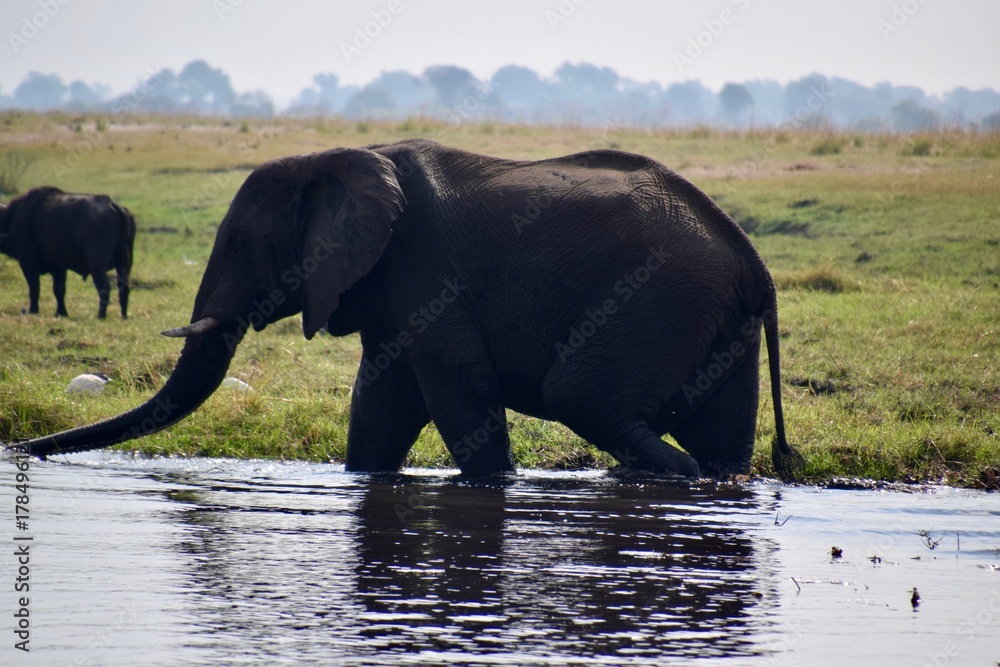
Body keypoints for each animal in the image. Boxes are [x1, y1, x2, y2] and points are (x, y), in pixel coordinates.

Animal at [0, 186, 135, 319]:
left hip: (97, 264)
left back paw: (100, 315)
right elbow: (59, 290)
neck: (11, 219)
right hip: (124, 262)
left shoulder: (27, 264)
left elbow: (34, 289)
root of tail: (111, 203)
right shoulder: (59, 268)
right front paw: (61, 312)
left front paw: (33, 311)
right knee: (124, 287)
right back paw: (123, 315)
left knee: (104, 287)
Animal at [17, 139, 803, 478]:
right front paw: (363, 481)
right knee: (718, 434)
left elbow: (459, 392)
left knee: (582, 397)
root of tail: (753, 260)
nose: (21, 452)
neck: (333, 158)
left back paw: (664, 476)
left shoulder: (425, 271)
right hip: (714, 319)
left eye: (240, 242)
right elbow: (382, 400)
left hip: (656, 301)